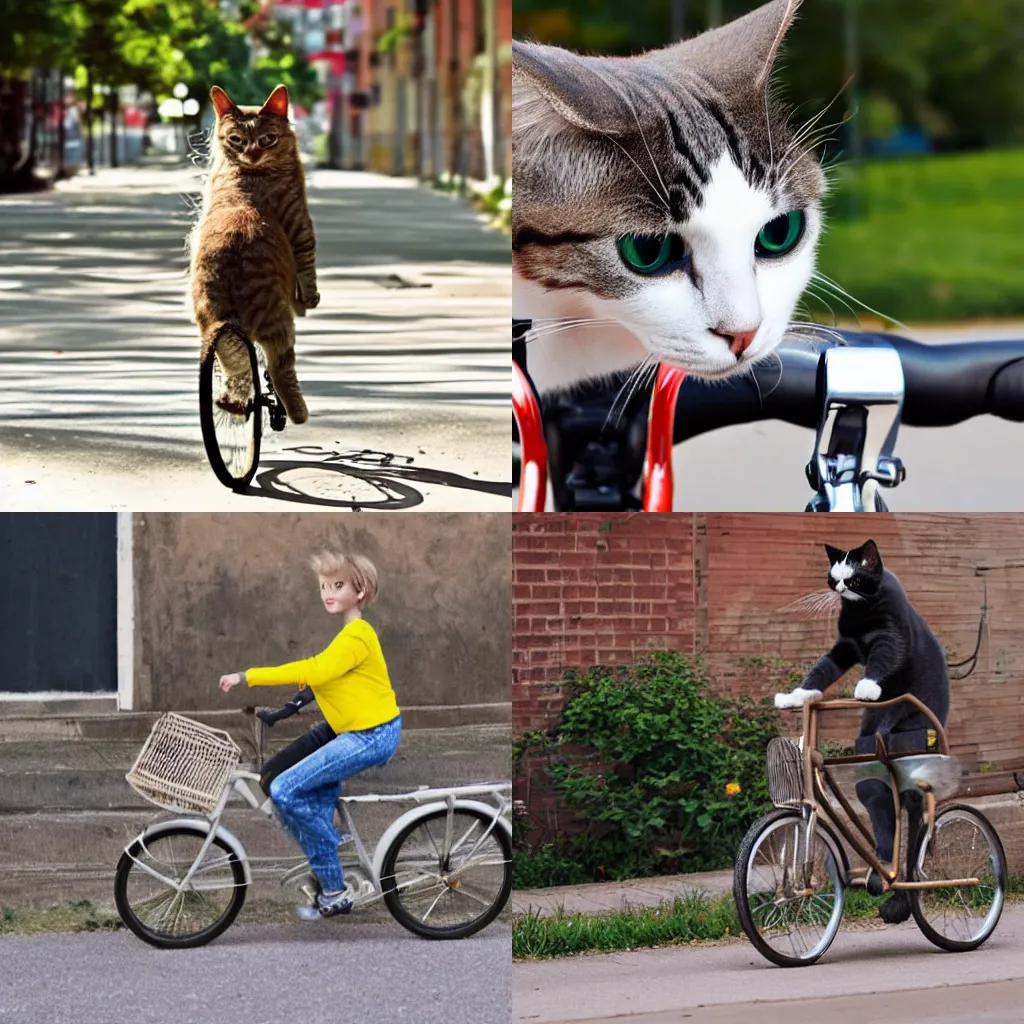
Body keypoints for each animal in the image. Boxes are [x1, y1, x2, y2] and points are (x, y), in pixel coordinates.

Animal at [190, 80, 317, 428]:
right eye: (237, 139)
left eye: (267, 139)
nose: (252, 153)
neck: (245, 173)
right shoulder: (300, 220)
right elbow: (307, 261)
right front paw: (311, 297)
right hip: (279, 325)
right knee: (279, 367)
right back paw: (297, 411)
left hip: (219, 333)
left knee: (236, 371)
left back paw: (233, 403)